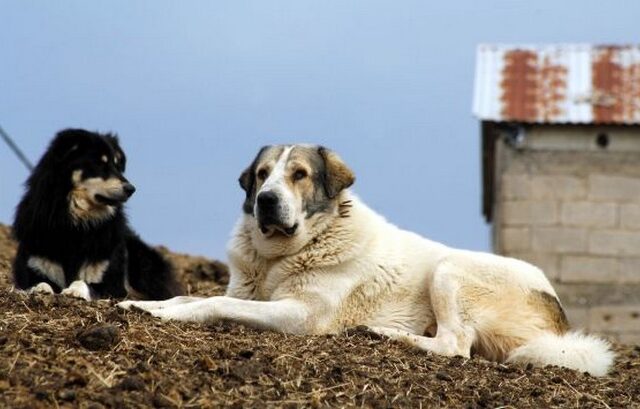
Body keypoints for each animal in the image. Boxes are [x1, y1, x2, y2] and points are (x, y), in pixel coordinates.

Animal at [12, 130, 182, 300]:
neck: (76, 222)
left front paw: (74, 290)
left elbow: (83, 282)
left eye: (117, 166)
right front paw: (39, 289)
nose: (131, 189)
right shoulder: (35, 265)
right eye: (100, 164)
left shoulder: (111, 284)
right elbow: (39, 282)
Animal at [120, 144, 616, 376]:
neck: (280, 256)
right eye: (262, 175)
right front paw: (139, 306)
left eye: (299, 175)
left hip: (449, 269)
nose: (265, 200)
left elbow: (213, 303)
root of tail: (558, 318)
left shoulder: (300, 315)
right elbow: (184, 298)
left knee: (455, 346)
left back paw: (380, 333)